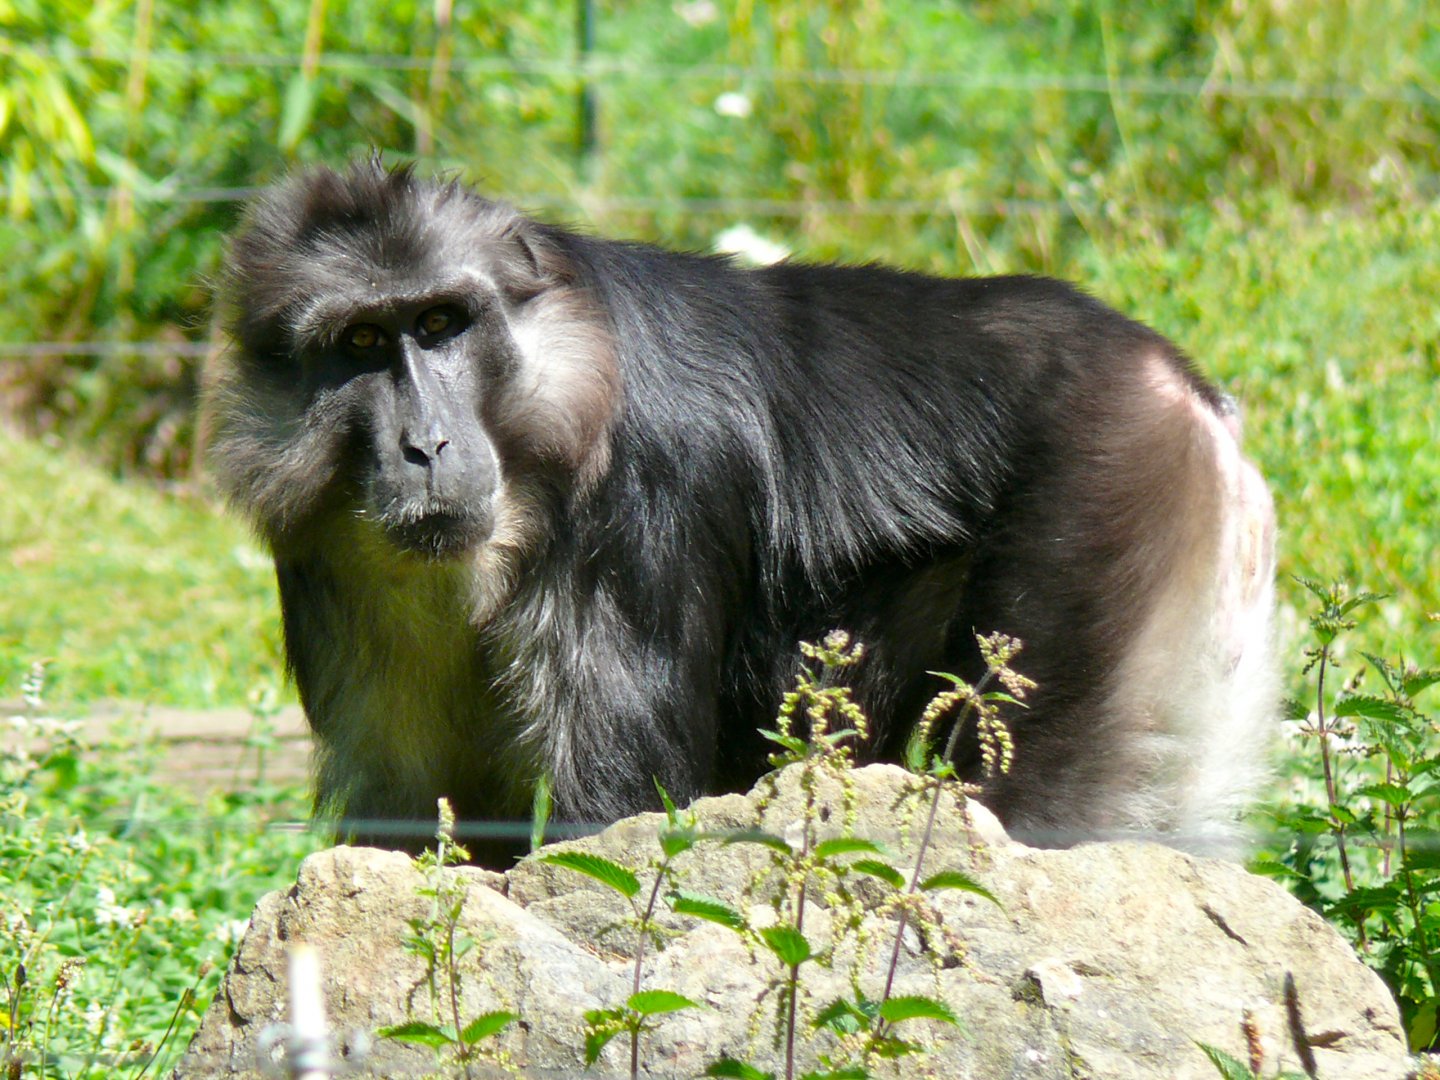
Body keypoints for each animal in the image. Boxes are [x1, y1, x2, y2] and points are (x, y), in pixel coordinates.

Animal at [205, 160, 1276, 866]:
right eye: (359, 343)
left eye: (439, 324)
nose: (424, 447)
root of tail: (1176, 382)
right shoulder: (333, 566)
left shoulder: (642, 498)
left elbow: (613, 819)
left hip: (1108, 491)